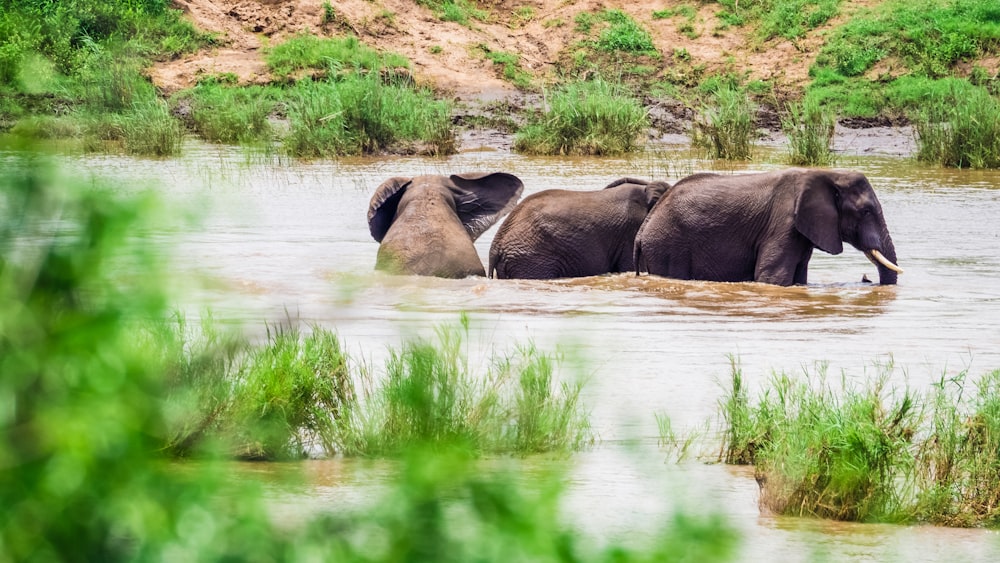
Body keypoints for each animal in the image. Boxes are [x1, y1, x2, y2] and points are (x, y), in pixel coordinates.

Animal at [632, 169, 908, 286]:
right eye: (866, 211)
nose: (866, 280)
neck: (829, 174)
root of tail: (643, 229)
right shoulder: (783, 225)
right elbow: (772, 277)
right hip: (668, 244)